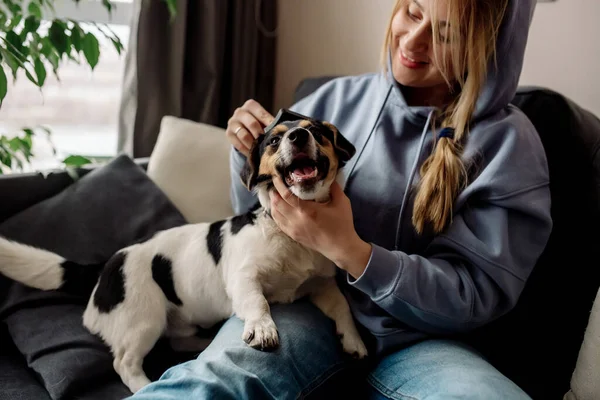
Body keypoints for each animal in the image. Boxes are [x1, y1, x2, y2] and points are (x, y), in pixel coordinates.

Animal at [0, 110, 368, 394]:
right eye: (274, 141)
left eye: (317, 131)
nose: (299, 136)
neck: (291, 235)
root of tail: (108, 265)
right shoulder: (244, 278)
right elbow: (258, 303)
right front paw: (263, 328)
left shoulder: (322, 284)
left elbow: (342, 308)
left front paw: (353, 340)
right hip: (144, 320)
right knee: (125, 362)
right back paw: (144, 383)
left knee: (176, 341)